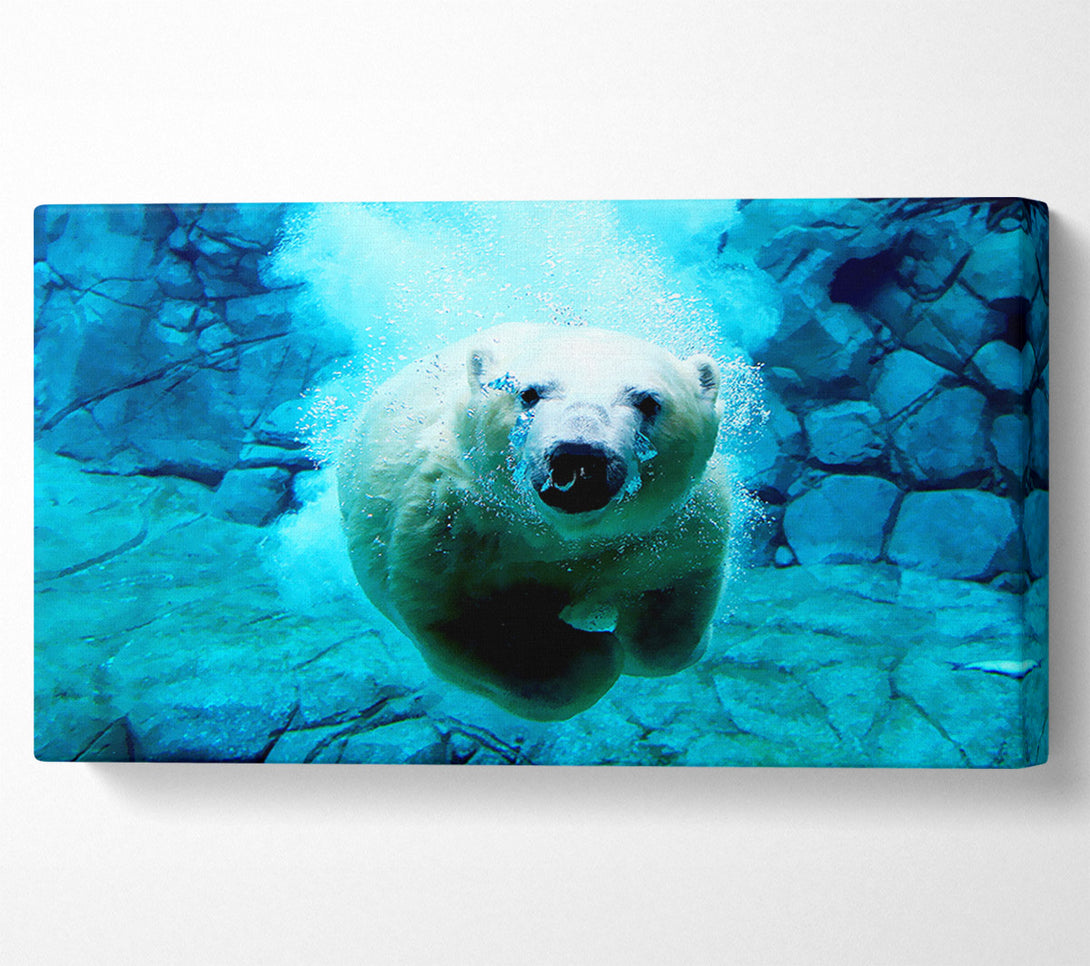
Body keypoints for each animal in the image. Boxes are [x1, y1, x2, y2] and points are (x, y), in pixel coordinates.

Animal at [337, 323, 730, 721]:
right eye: (528, 393)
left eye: (648, 401)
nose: (578, 455)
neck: (560, 535)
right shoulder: (450, 529)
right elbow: (463, 623)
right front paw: (590, 650)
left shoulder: (672, 527)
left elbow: (674, 604)